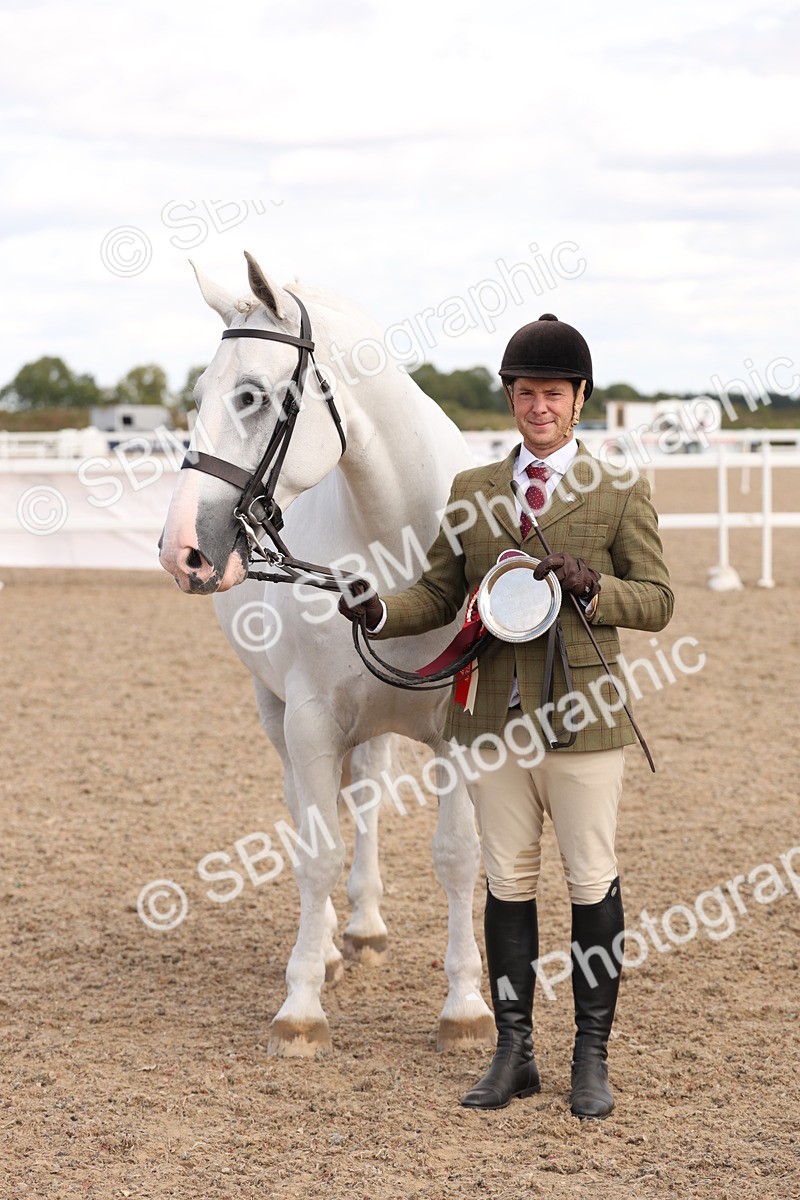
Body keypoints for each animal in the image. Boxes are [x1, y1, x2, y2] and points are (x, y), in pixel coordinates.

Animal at [159, 252, 494, 1057]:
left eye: (251, 395)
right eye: (197, 396)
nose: (181, 549)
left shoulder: (460, 732)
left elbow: (457, 856)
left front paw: (465, 1006)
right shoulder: (310, 721)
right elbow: (317, 853)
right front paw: (302, 1006)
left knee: (367, 797)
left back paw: (366, 929)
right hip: (275, 710)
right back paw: (336, 947)